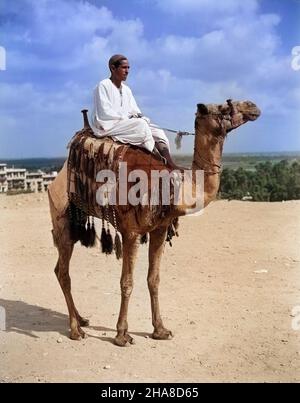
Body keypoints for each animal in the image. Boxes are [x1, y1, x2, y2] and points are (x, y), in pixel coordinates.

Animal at [47, 98, 260, 348]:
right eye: (225, 106)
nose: (252, 106)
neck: (174, 187)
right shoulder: (130, 231)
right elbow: (127, 282)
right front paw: (122, 334)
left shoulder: (160, 229)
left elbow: (154, 279)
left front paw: (160, 330)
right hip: (61, 216)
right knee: (63, 271)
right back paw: (75, 329)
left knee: (59, 269)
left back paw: (81, 319)